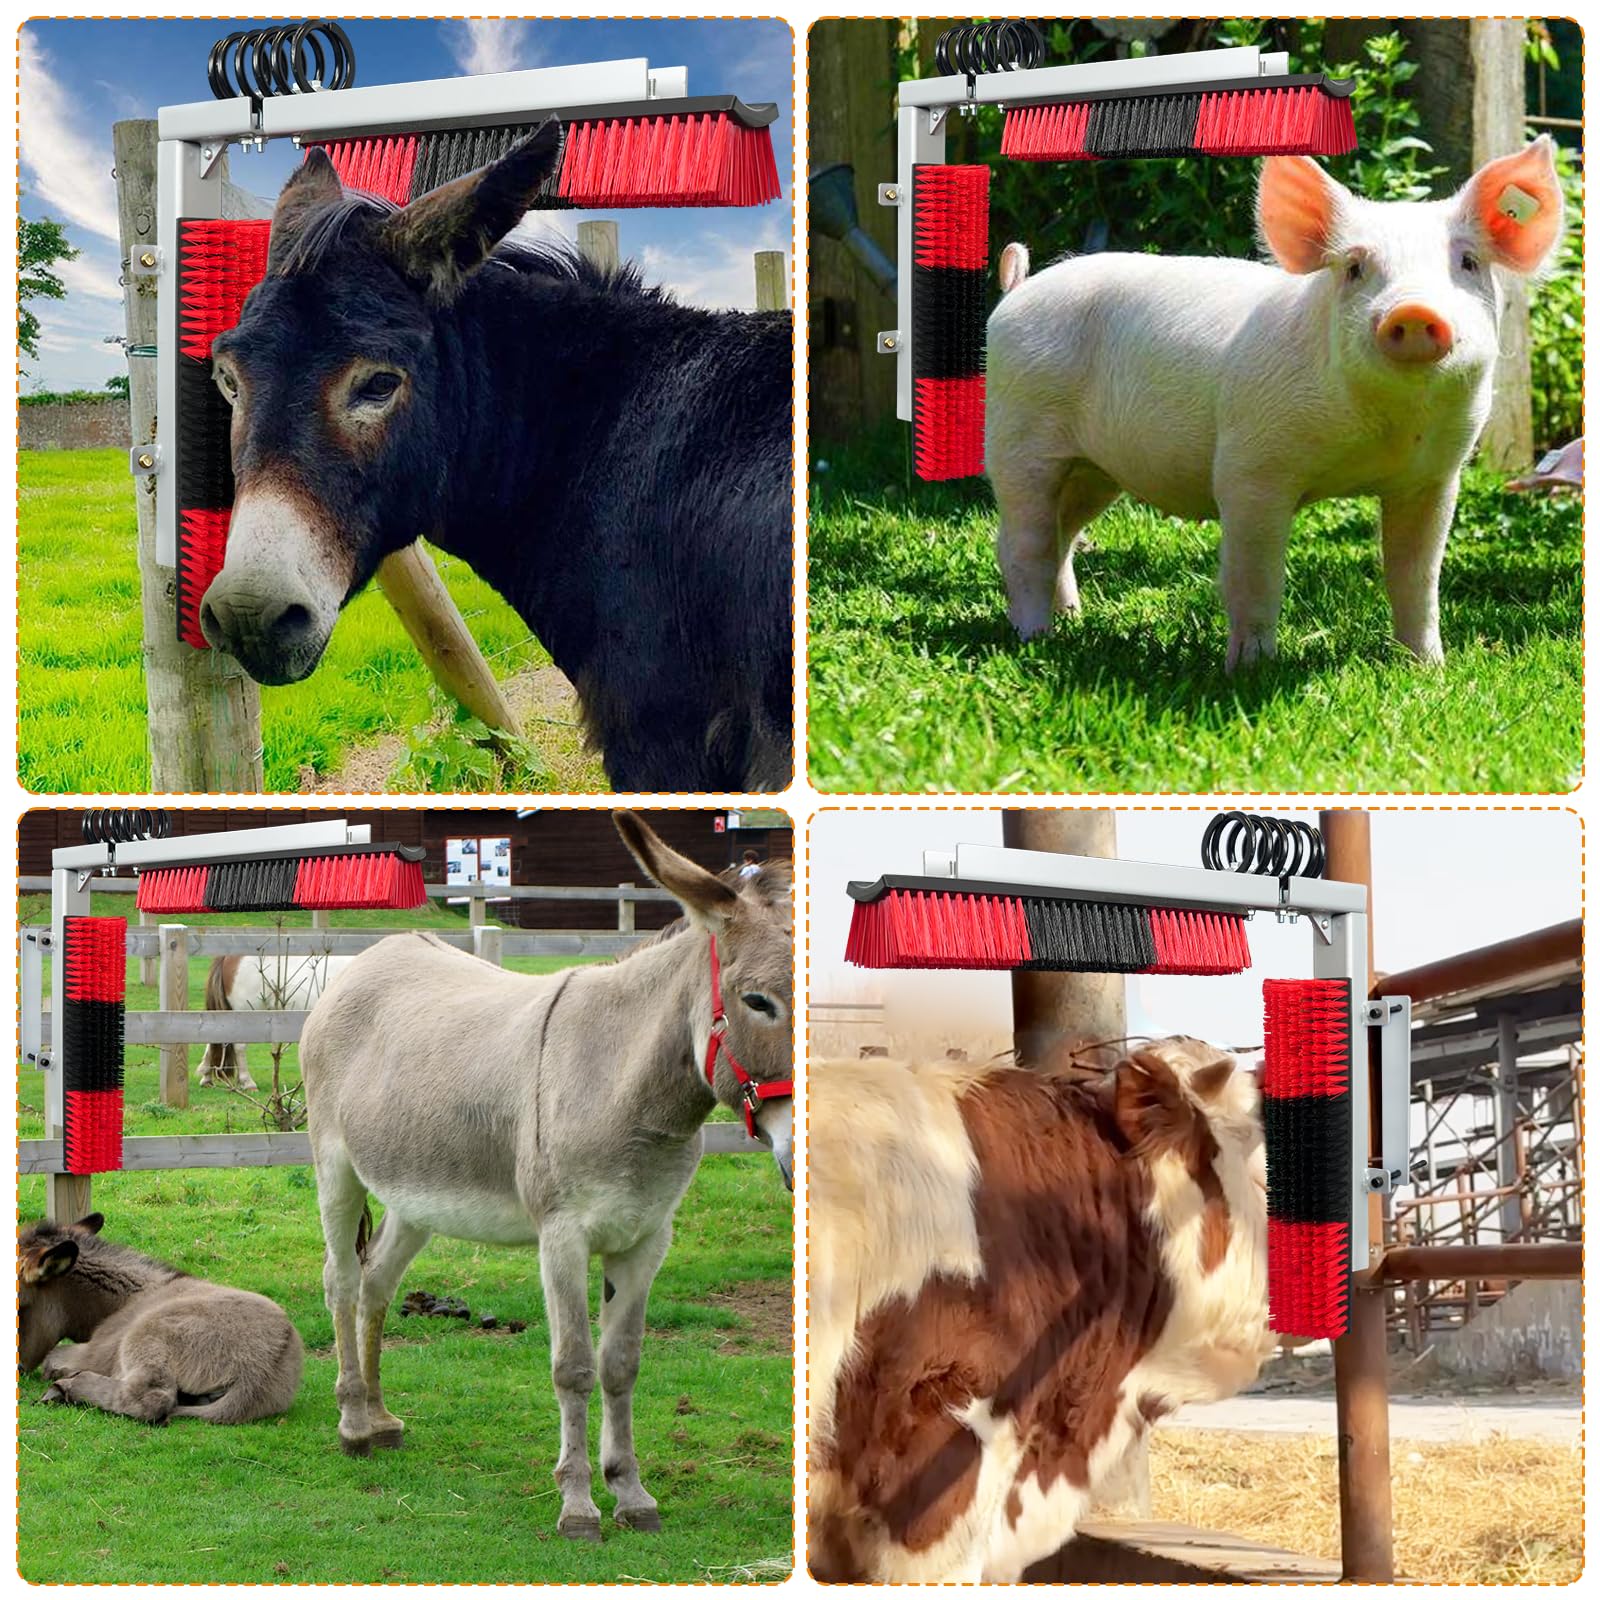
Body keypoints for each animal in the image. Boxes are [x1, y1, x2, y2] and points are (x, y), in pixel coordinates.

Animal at [20, 1213, 303, 1425]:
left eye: (20, 1306)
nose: (19, 1370)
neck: (129, 1297)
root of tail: (259, 1374)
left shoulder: (95, 1352)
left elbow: (52, 1358)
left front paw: (60, 1373)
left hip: (146, 1338)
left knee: (152, 1399)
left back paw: (64, 1387)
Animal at [298, 813, 793, 1541]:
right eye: (758, 1002)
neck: (625, 1086)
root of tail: (375, 954)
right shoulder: (561, 1237)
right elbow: (575, 1368)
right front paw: (579, 1505)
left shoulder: (647, 1239)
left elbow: (622, 1365)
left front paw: (632, 1493)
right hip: (336, 1169)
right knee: (340, 1280)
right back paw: (354, 1423)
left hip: (415, 1196)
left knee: (376, 1281)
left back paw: (382, 1418)